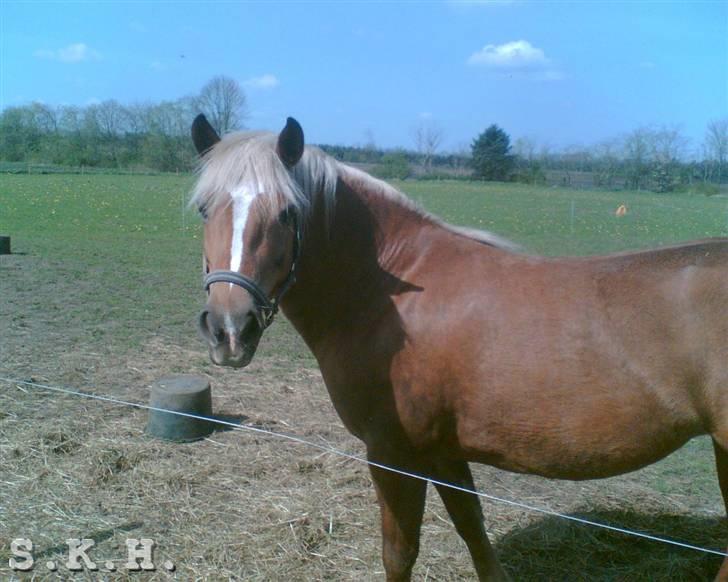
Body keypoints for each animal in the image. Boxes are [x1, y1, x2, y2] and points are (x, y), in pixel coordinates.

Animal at [191, 115, 728, 582]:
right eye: (204, 209)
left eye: (288, 212)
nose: (229, 329)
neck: (389, 294)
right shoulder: (443, 451)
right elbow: (473, 528)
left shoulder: (392, 451)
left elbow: (400, 553)